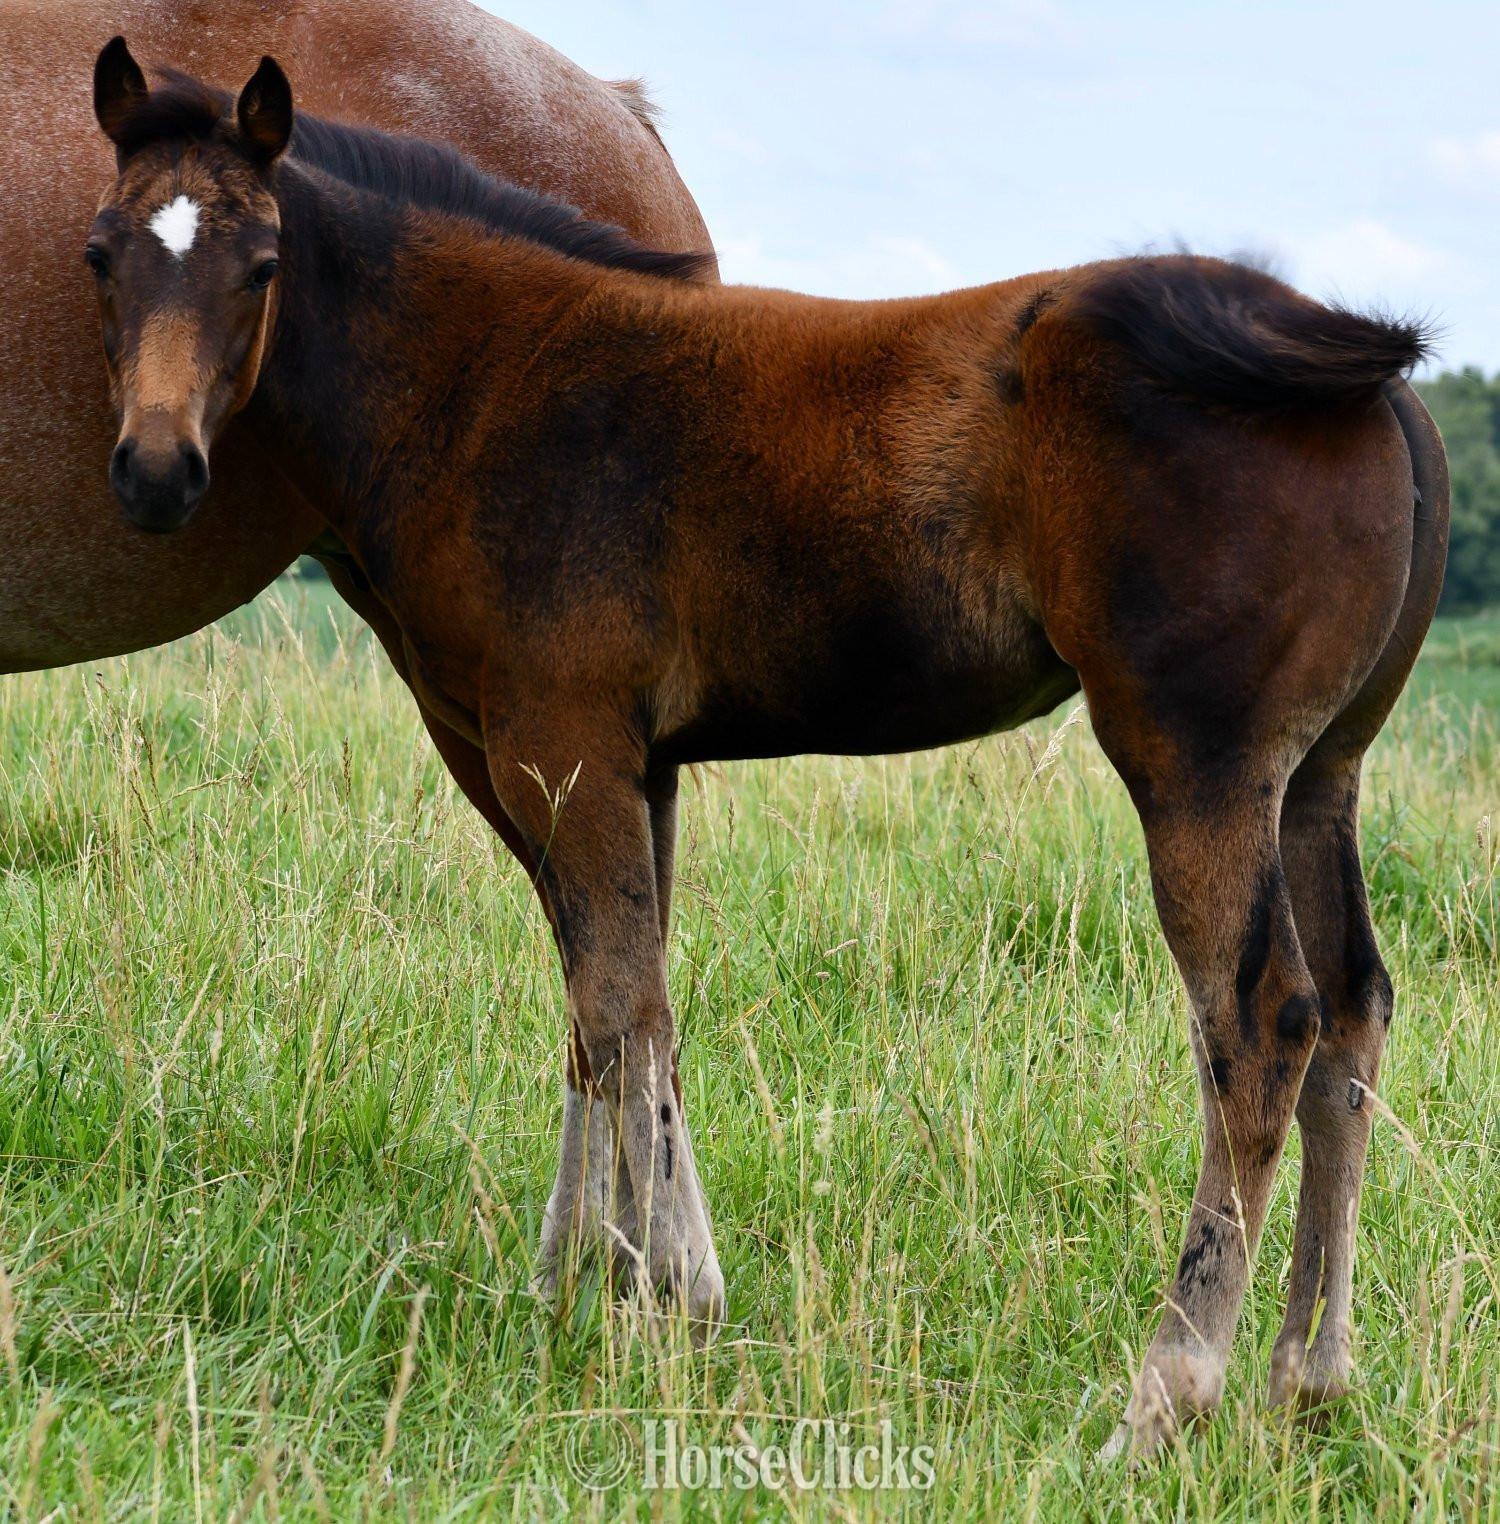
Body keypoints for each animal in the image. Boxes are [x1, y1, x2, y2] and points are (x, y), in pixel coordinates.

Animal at [81, 42, 1449, 1457]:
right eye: (99, 254)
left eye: (261, 262)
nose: (155, 472)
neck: (484, 379)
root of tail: (1376, 383)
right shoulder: (627, 760)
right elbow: (615, 1009)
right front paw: (615, 1285)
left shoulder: (556, 740)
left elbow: (621, 1004)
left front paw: (657, 1303)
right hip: (1321, 773)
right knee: (1354, 1013)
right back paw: (1308, 1379)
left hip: (1196, 760)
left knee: (1261, 1025)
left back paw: (1164, 1400)